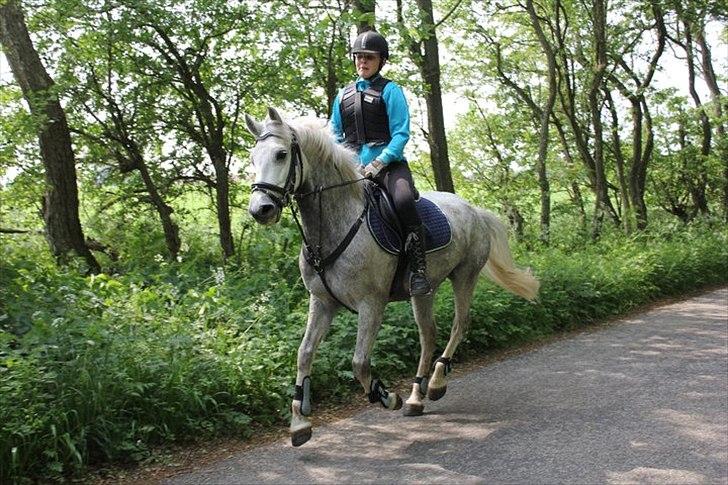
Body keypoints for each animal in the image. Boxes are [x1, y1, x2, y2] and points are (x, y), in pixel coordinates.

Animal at [247, 108, 536, 446]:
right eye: (252, 157)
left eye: (281, 154)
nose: (261, 209)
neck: (334, 226)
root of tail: (474, 210)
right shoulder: (322, 302)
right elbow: (304, 354)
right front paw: (299, 421)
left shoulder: (371, 303)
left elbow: (359, 362)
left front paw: (386, 397)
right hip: (423, 292)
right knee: (428, 334)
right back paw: (416, 396)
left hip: (465, 276)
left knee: (459, 325)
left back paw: (435, 384)